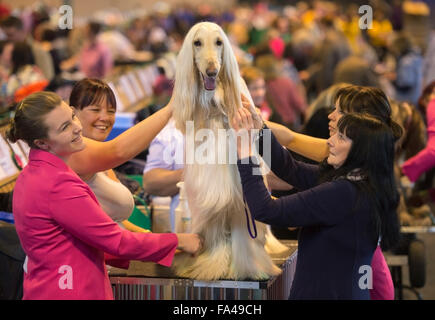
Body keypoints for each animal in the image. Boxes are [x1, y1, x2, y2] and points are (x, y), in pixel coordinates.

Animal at [172, 21, 288, 280]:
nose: (212, 71)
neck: (215, 107)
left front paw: (250, 268)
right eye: (197, 42)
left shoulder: (241, 195)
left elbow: (243, 233)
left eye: (219, 42)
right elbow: (215, 233)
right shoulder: (211, 190)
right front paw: (211, 265)